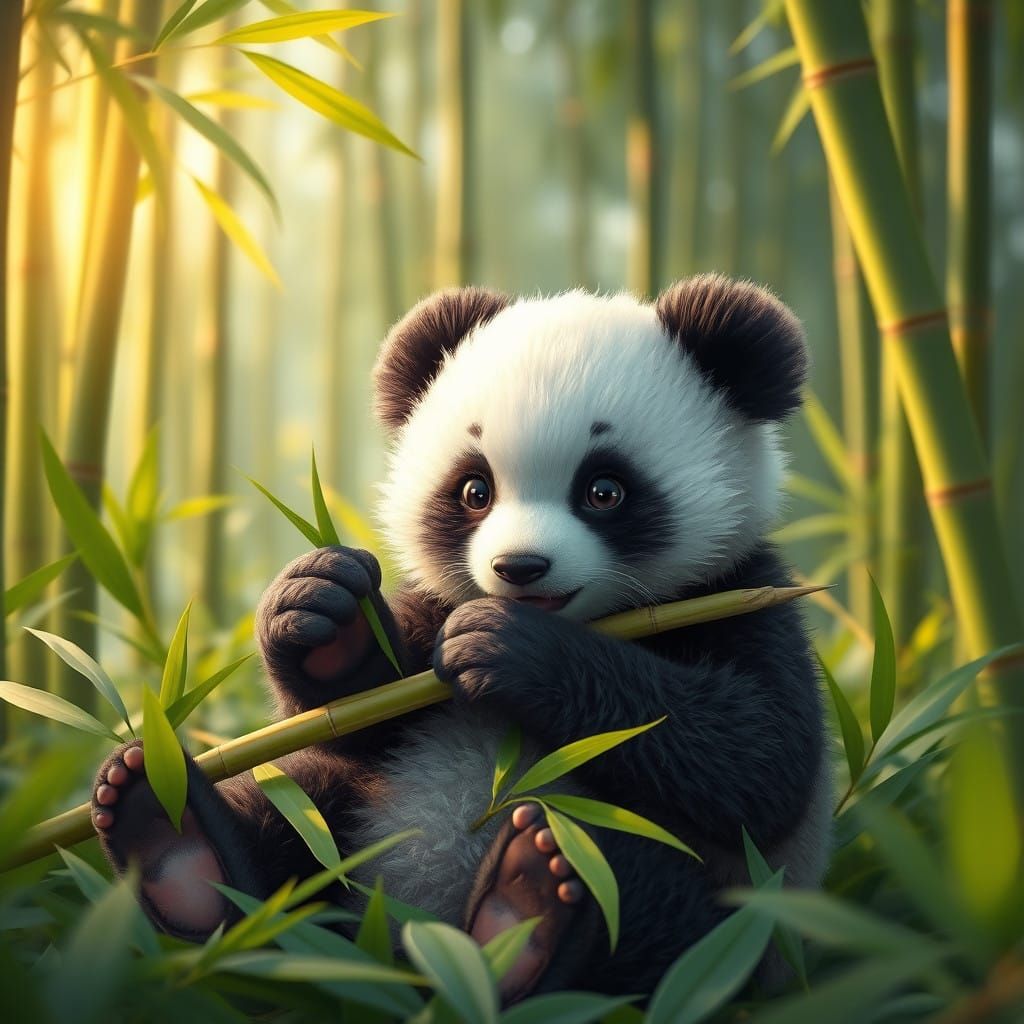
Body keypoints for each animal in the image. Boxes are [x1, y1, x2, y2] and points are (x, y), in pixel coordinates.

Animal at [91, 275, 831, 1003]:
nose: (519, 568)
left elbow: (758, 758)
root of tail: (413, 955)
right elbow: (358, 720)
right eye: (475, 490)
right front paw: (322, 610)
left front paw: (511, 650)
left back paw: (531, 906)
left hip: (734, 917)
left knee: (646, 907)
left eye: (605, 490)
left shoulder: (745, 595)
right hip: (348, 826)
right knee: (295, 812)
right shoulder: (433, 611)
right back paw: (171, 841)